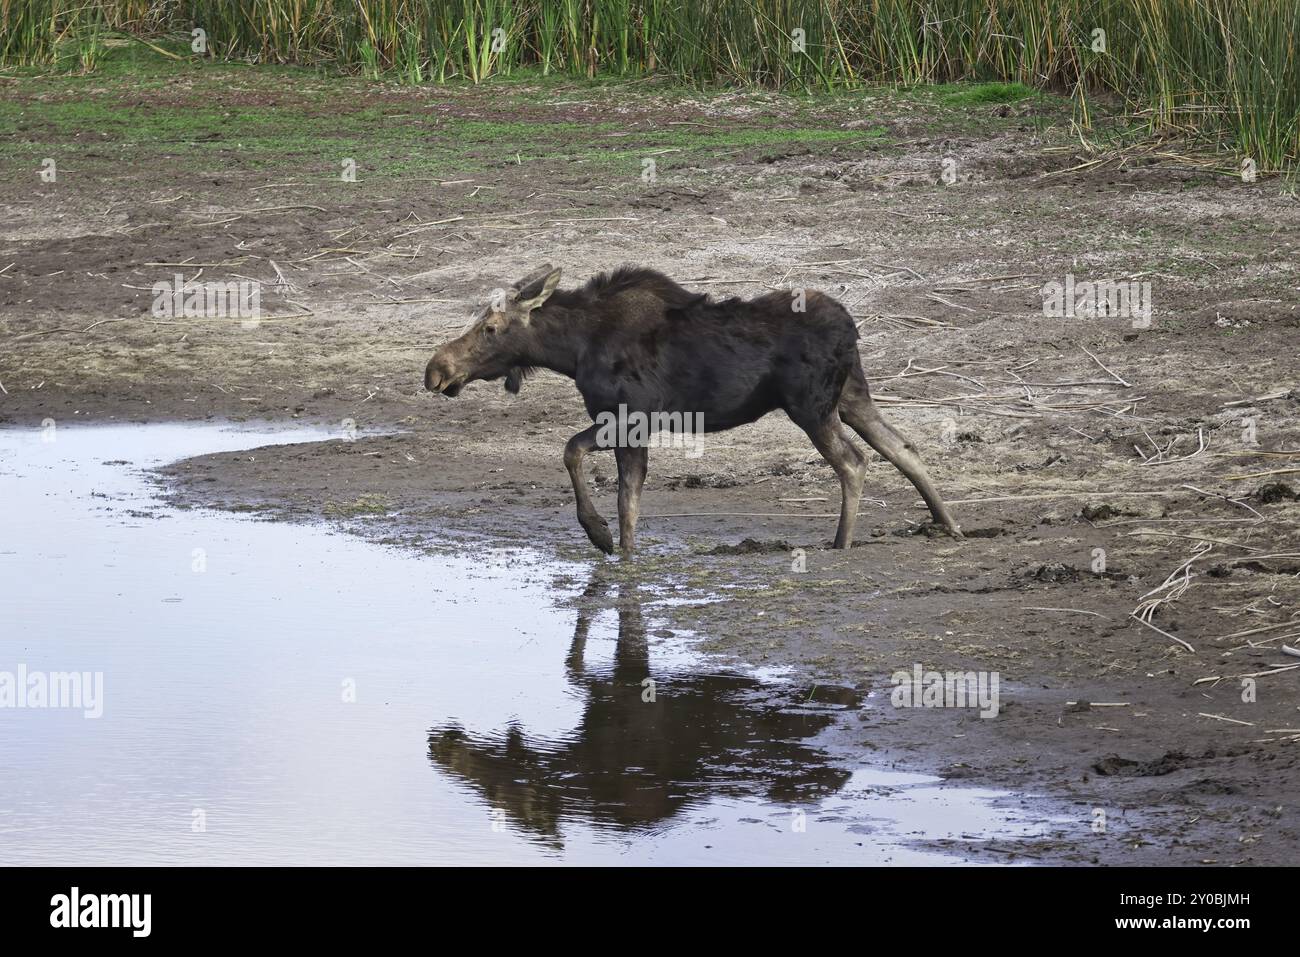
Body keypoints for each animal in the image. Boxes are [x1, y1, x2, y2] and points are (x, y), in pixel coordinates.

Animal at [421, 265, 961, 556]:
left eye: (490, 329)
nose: (436, 370)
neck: (571, 351)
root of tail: (853, 327)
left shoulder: (628, 416)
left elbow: (588, 467)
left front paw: (601, 537)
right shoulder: (629, 424)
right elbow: (624, 494)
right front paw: (617, 547)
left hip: (810, 406)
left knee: (854, 461)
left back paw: (842, 541)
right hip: (851, 397)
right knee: (903, 447)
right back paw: (948, 524)